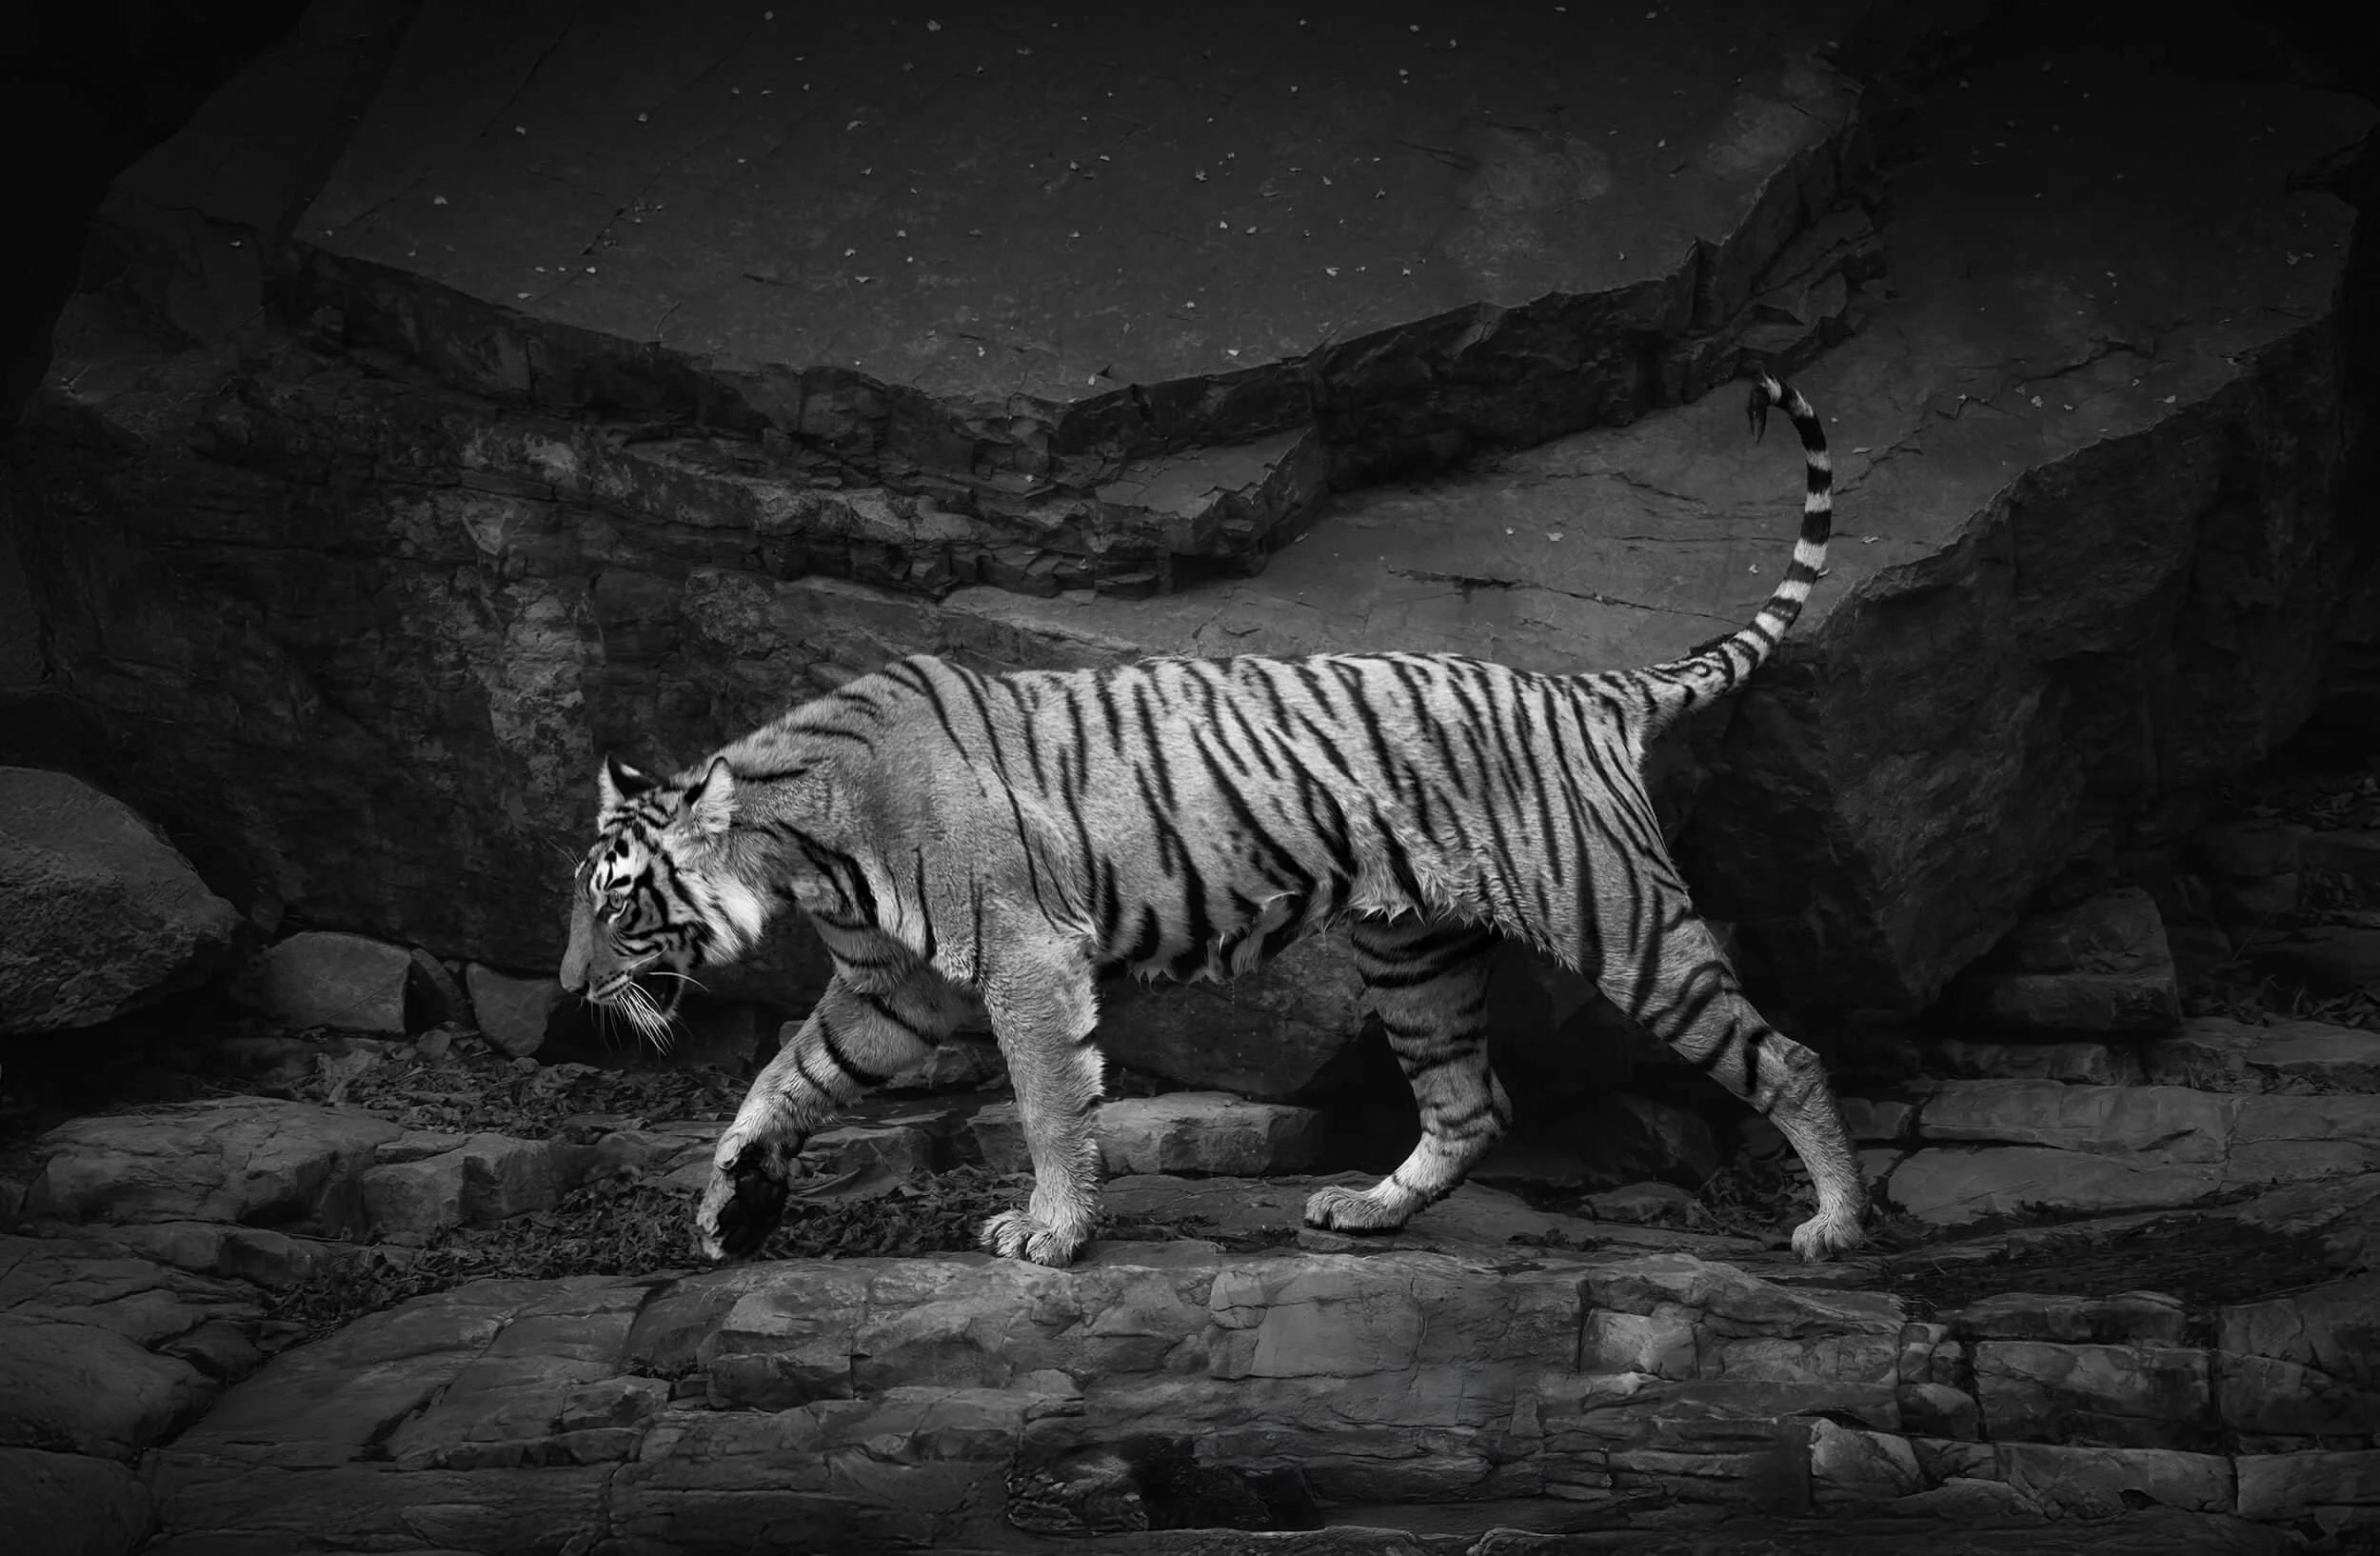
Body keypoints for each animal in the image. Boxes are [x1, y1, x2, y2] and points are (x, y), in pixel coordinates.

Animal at [560, 371, 1867, 1269]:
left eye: (620, 905)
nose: (572, 987)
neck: (801, 847)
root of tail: (1582, 688)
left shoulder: (1023, 955)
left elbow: (1047, 1102)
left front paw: (1050, 1231)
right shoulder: (893, 985)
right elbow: (784, 1074)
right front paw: (731, 1200)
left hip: (1619, 919)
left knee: (1789, 1054)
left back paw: (1835, 1224)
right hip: (1415, 950)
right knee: (1468, 1102)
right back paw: (1365, 1208)